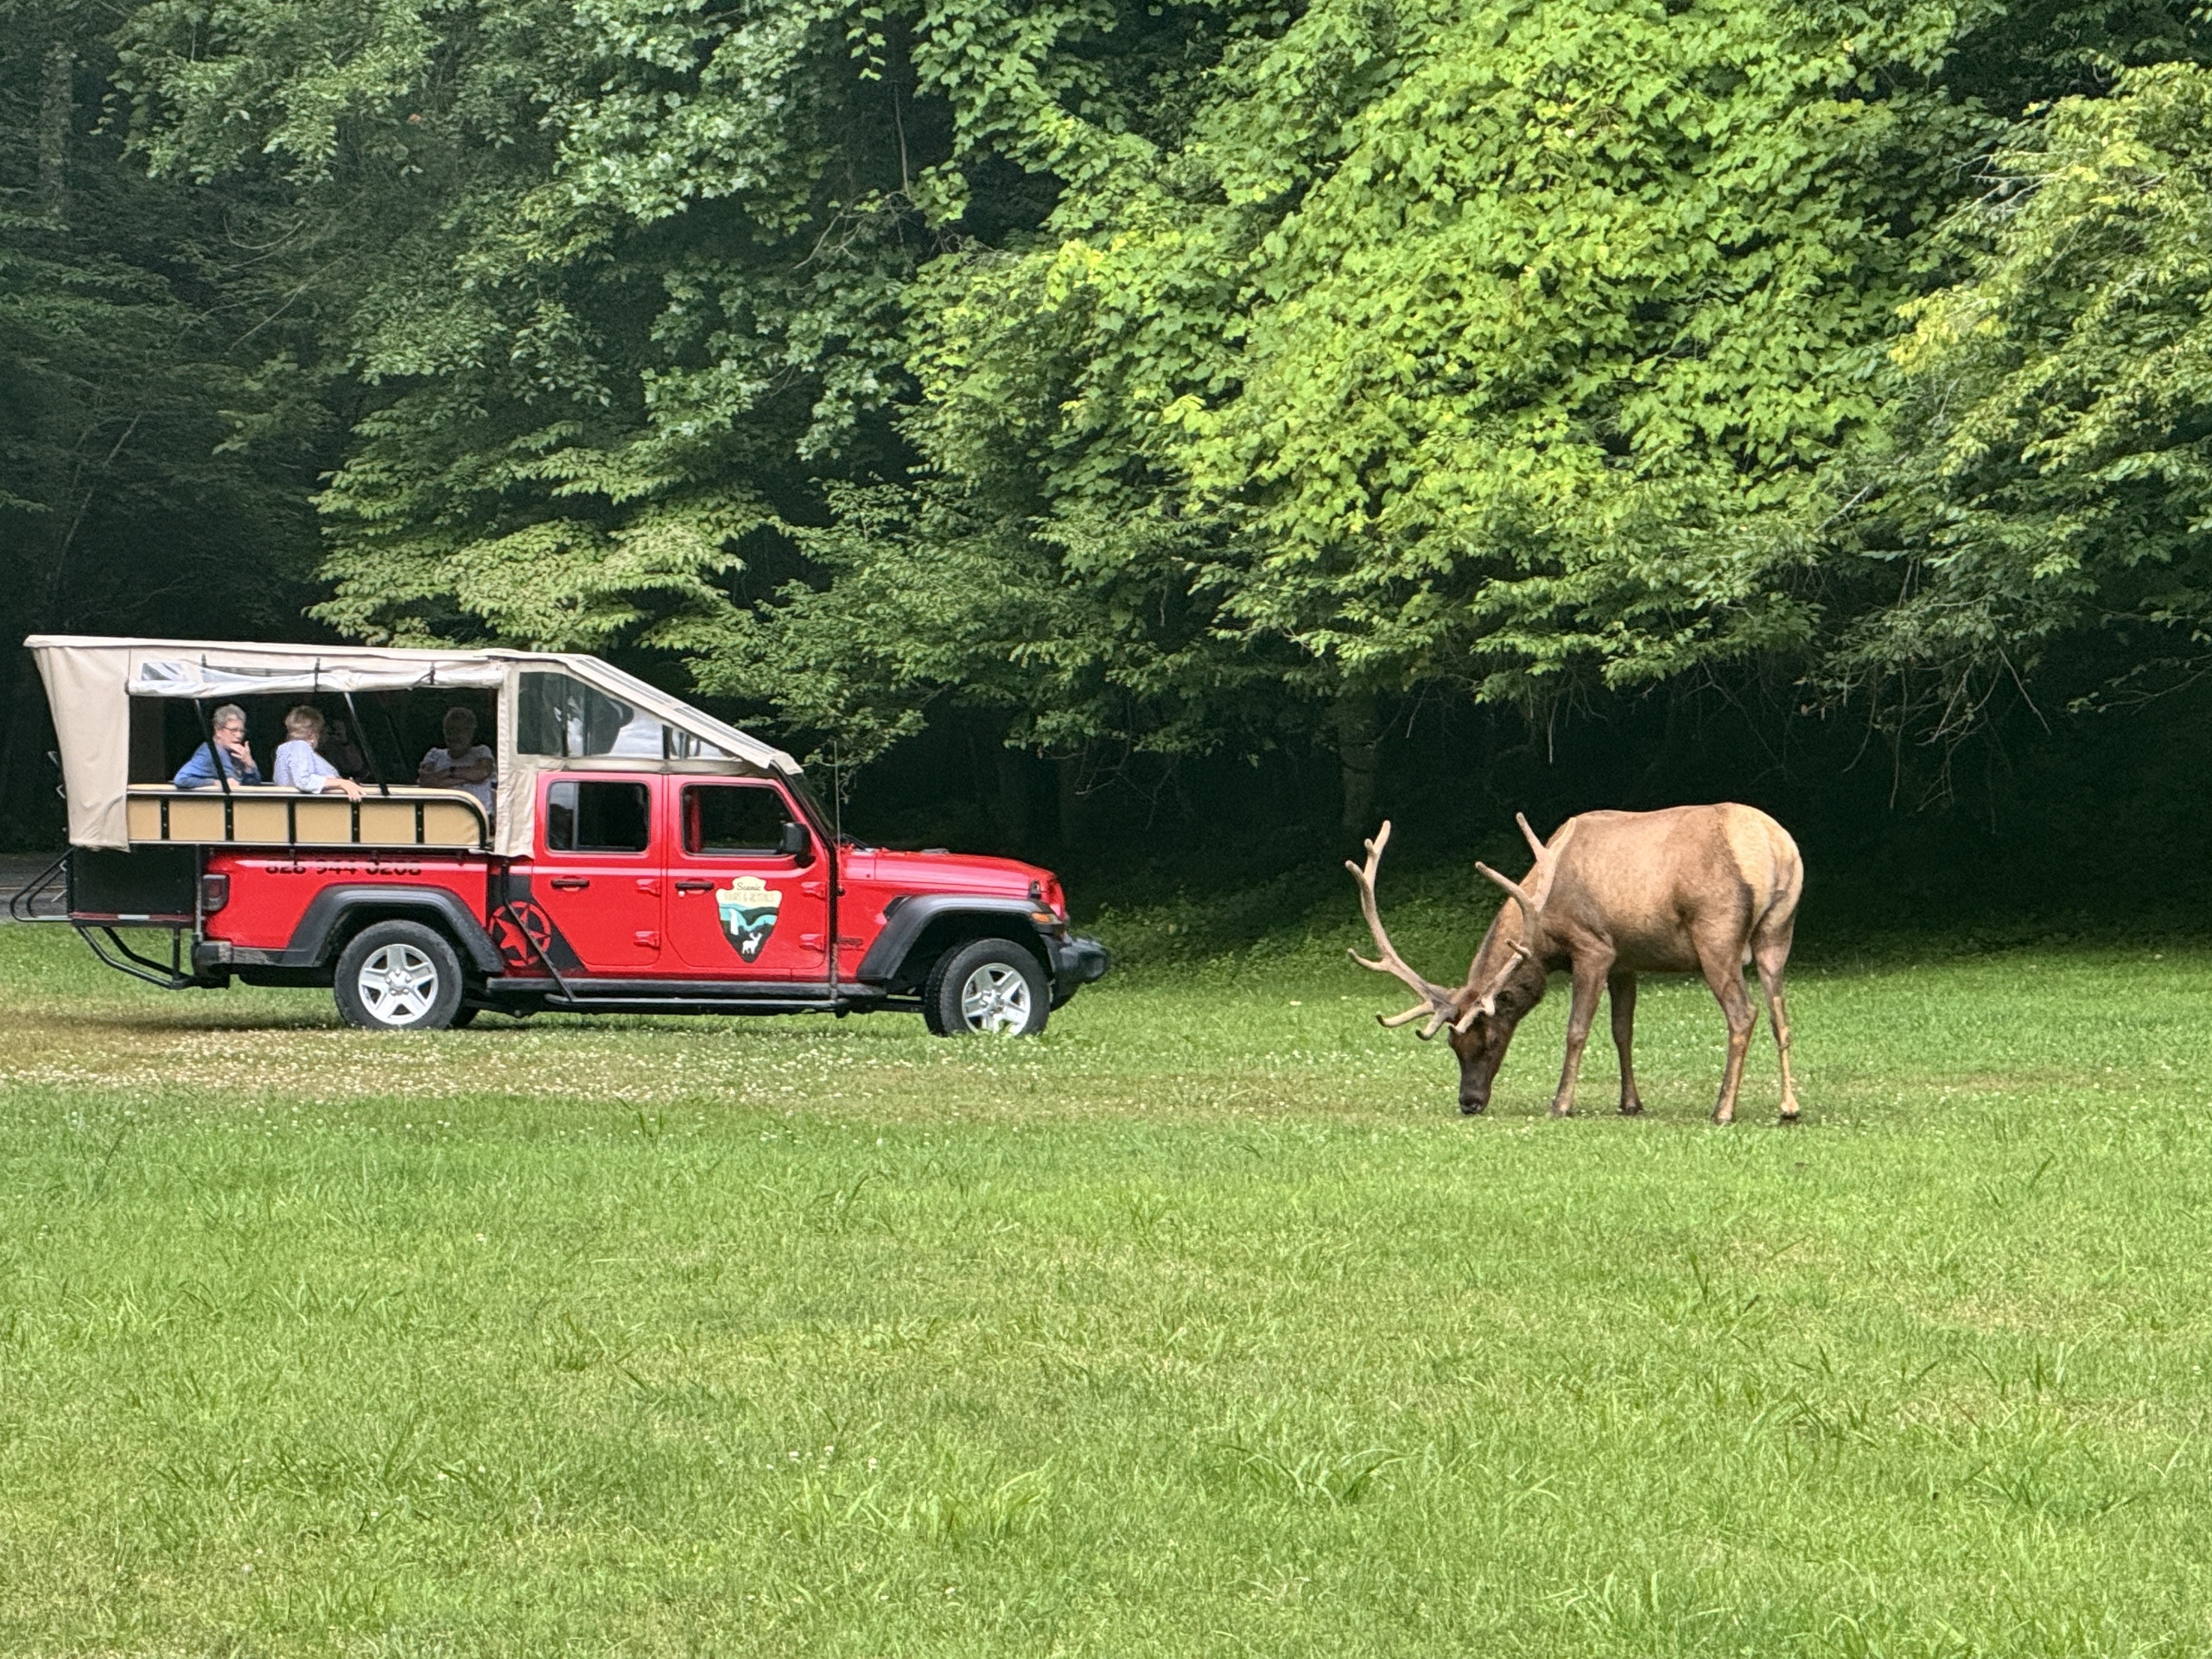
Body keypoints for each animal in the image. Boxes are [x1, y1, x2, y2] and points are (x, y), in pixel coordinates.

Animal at [1344, 809, 1796, 1123]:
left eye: (1491, 1040)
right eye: (1454, 1046)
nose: (1469, 1102)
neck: (1544, 927)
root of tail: (1777, 848)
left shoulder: (1594, 947)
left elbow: (1577, 1030)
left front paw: (1561, 1103)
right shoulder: (1625, 959)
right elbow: (1622, 1031)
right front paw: (1630, 1103)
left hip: (1716, 933)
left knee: (1744, 1013)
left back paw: (1723, 1110)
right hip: (1778, 933)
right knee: (1780, 1017)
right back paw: (1789, 1106)